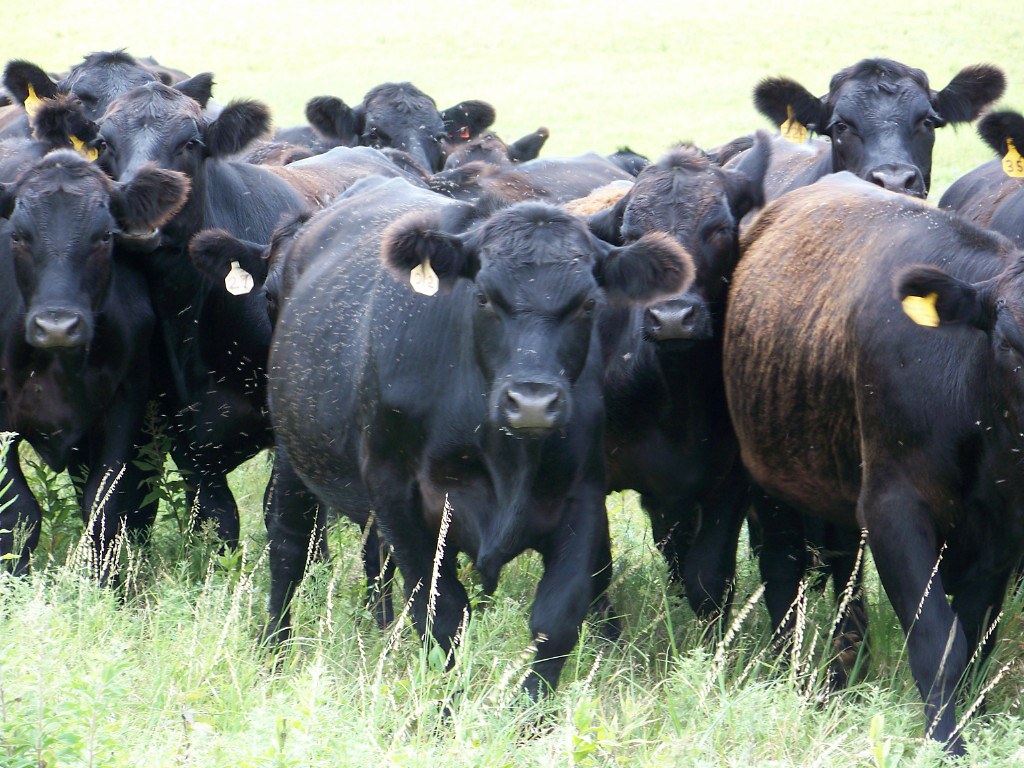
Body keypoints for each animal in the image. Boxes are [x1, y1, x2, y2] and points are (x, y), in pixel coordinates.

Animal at [0, 150, 189, 580]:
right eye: (16, 236)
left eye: (105, 236)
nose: (56, 326)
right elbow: (17, 512)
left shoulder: (127, 400)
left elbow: (107, 505)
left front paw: (105, 584)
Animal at [264, 176, 693, 696]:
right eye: (484, 297)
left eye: (588, 303)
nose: (532, 402)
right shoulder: (398, 495)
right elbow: (441, 617)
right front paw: (446, 707)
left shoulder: (582, 498)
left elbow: (557, 620)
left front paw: (531, 711)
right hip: (294, 453)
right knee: (288, 548)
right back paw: (274, 650)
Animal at [582, 135, 770, 625]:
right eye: (632, 238)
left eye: (719, 228)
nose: (671, 318)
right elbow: (594, 568)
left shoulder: (731, 479)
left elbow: (708, 576)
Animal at [723, 172, 1024, 753]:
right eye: (1008, 342)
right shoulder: (894, 508)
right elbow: (938, 642)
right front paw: (947, 745)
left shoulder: (1000, 534)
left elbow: (978, 641)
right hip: (767, 477)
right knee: (784, 573)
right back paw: (791, 672)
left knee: (845, 581)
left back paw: (846, 672)